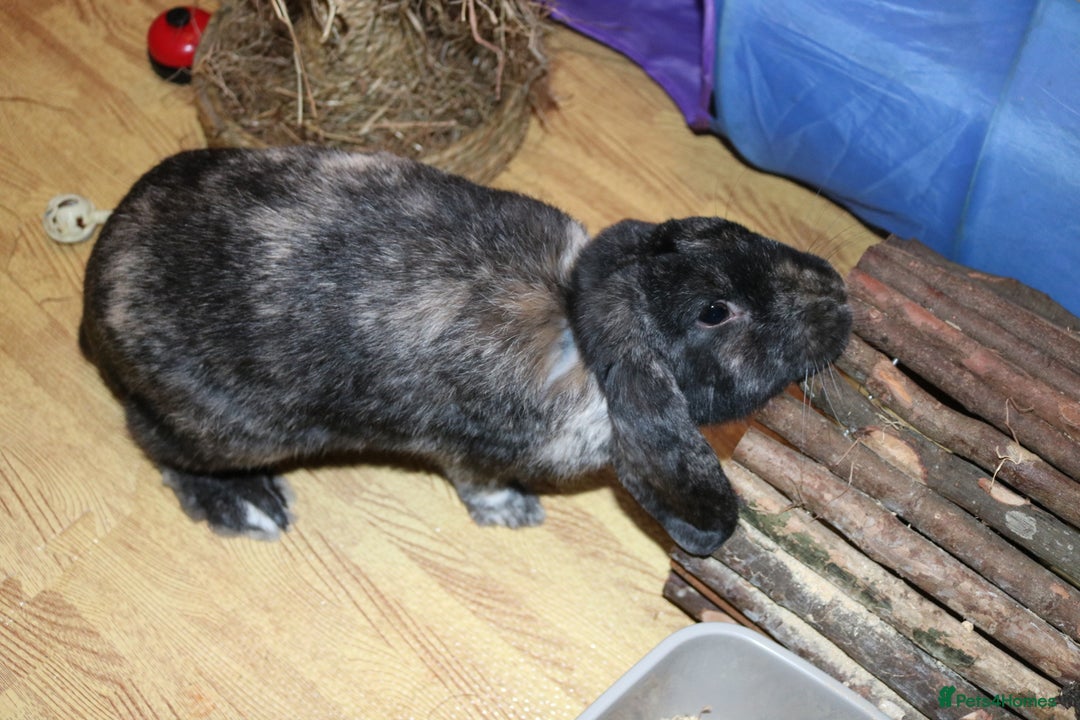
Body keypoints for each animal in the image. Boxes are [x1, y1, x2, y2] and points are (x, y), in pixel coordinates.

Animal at [79, 146, 852, 556]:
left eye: (723, 230)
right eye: (715, 312)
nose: (839, 296)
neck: (579, 319)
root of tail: (96, 289)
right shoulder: (466, 446)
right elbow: (476, 481)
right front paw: (513, 513)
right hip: (227, 428)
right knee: (152, 441)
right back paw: (246, 505)